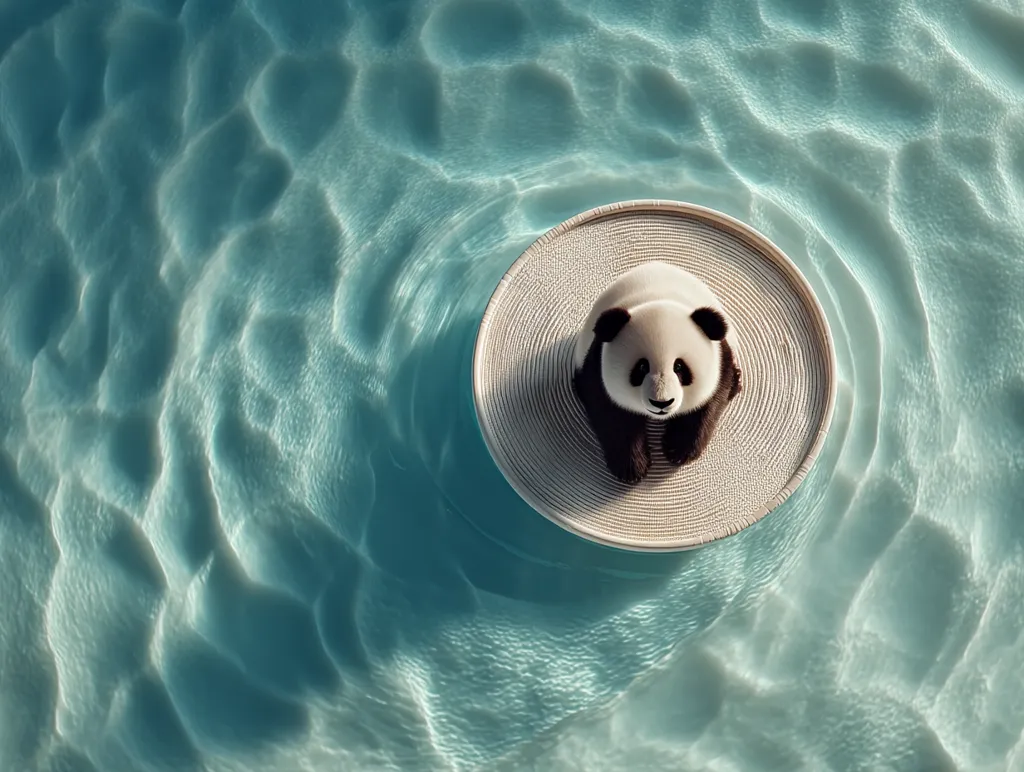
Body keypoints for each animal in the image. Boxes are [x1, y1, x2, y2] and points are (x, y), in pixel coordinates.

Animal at [572, 260, 743, 485]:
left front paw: (678, 449)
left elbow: (711, 400)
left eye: (679, 367)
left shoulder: (720, 356)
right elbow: (609, 411)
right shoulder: (597, 360)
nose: (662, 403)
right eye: (642, 367)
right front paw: (632, 467)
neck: (659, 300)